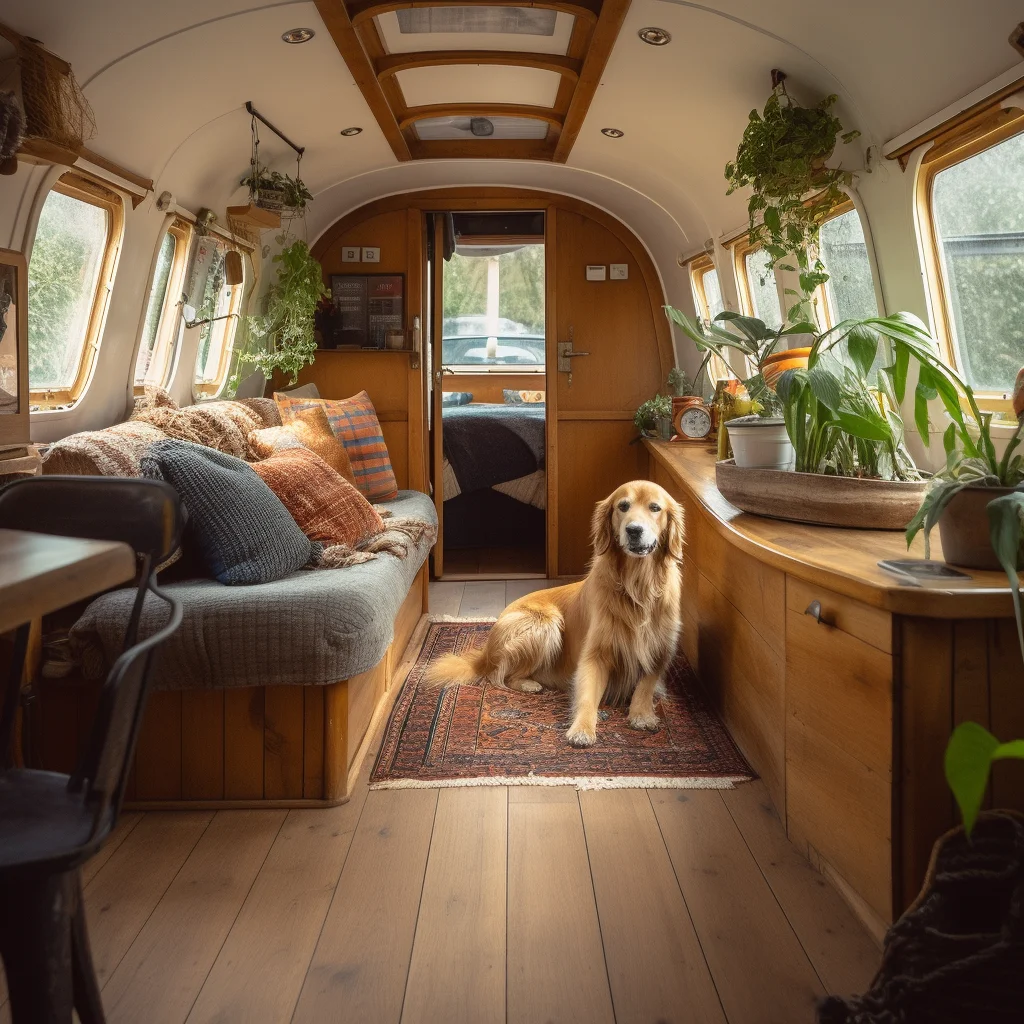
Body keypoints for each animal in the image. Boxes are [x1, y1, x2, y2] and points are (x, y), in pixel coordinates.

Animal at [423, 479, 679, 745]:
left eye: (655, 507)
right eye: (623, 506)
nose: (634, 530)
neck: (637, 587)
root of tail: (486, 651)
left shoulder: (660, 652)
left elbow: (646, 685)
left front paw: (643, 714)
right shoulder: (595, 655)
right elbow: (587, 695)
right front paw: (582, 729)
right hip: (547, 624)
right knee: (501, 675)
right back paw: (529, 684)